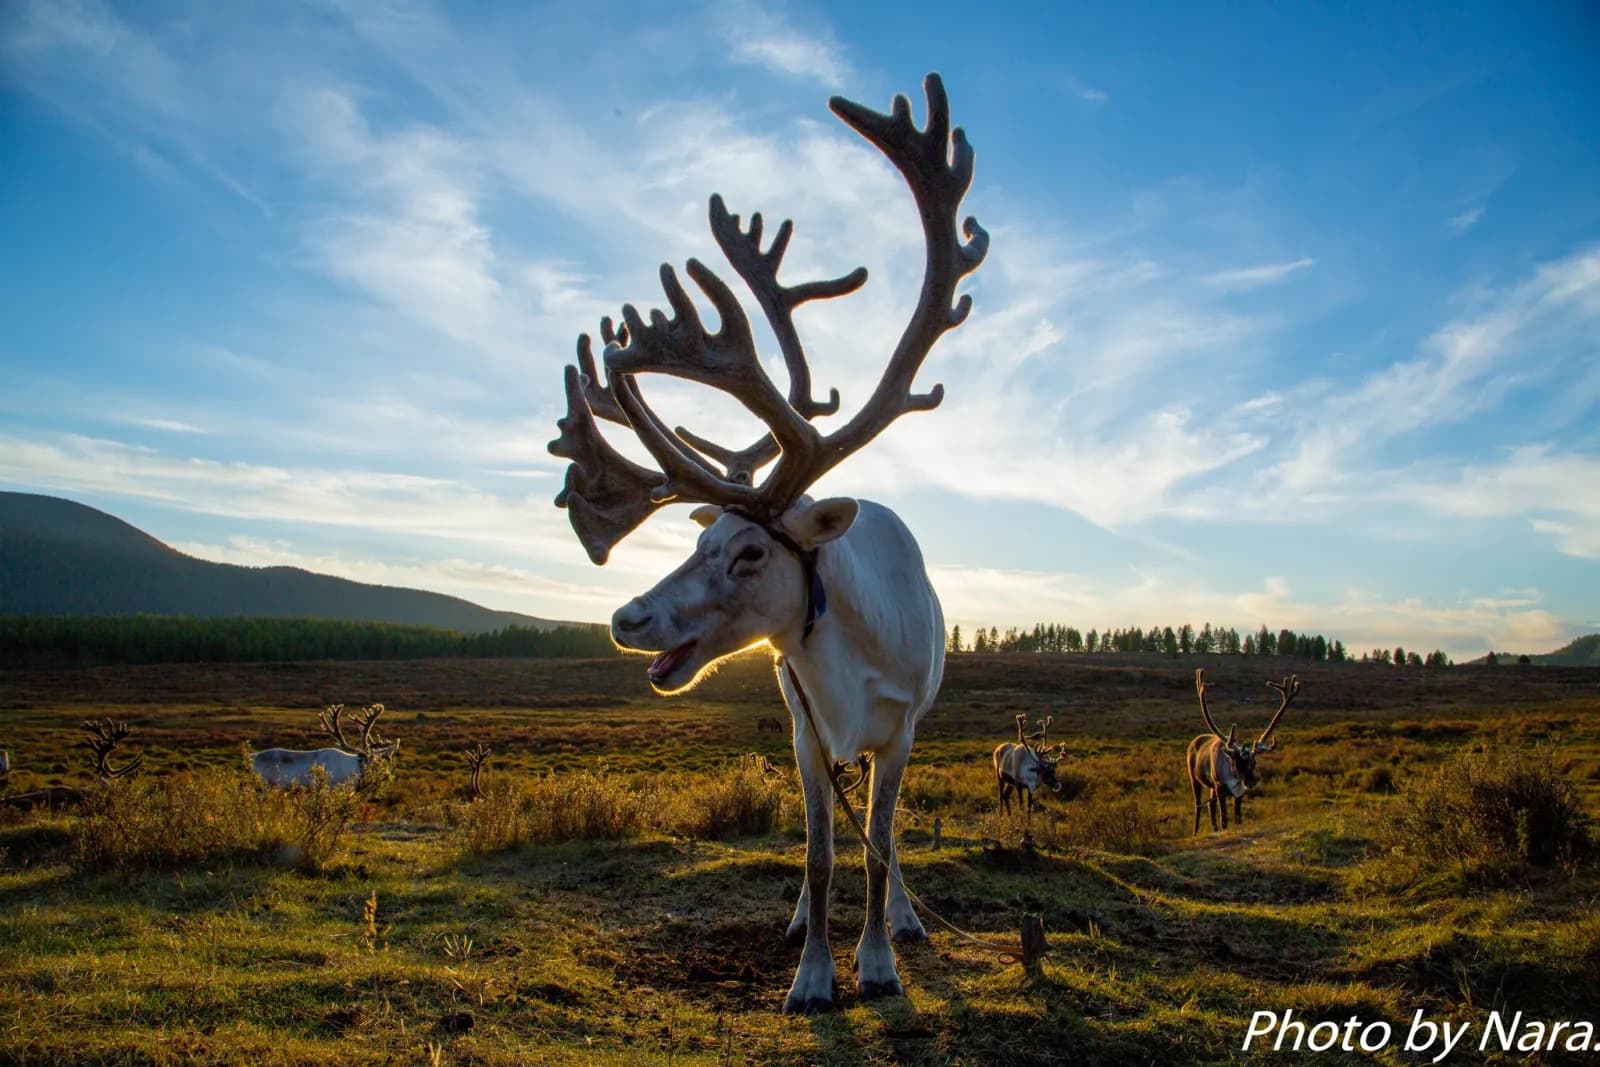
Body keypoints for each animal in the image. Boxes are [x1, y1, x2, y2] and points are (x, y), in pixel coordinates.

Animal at [547, 73, 986, 1013]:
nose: (626, 617)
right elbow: (820, 854)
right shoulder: (806, 733)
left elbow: (879, 845)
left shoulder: (899, 732)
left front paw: (878, 961)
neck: (847, 649)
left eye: (752, 552)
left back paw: (904, 917)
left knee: (889, 842)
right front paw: (814, 970)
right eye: (704, 538)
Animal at [1187, 670, 1299, 834]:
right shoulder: (1220, 787)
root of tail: (1195, 741)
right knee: (1198, 804)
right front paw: (1223, 827)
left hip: (1211, 787)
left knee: (1210, 805)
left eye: (1254, 762)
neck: (1233, 777)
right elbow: (1224, 818)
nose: (1251, 782)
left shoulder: (1239, 793)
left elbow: (1238, 817)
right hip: (1194, 779)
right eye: (1237, 762)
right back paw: (1195, 832)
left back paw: (1214, 829)